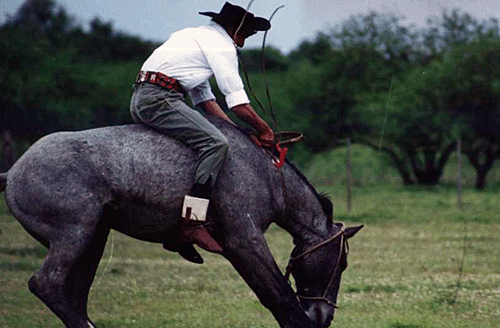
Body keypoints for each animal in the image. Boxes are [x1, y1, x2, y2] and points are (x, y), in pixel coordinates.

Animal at [0, 117, 360, 328]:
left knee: (74, 292)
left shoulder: (238, 248)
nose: (326, 316)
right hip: (74, 234)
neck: (267, 173)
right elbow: (281, 298)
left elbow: (275, 299)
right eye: (340, 263)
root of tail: (13, 171)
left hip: (94, 239)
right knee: (47, 284)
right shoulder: (246, 240)